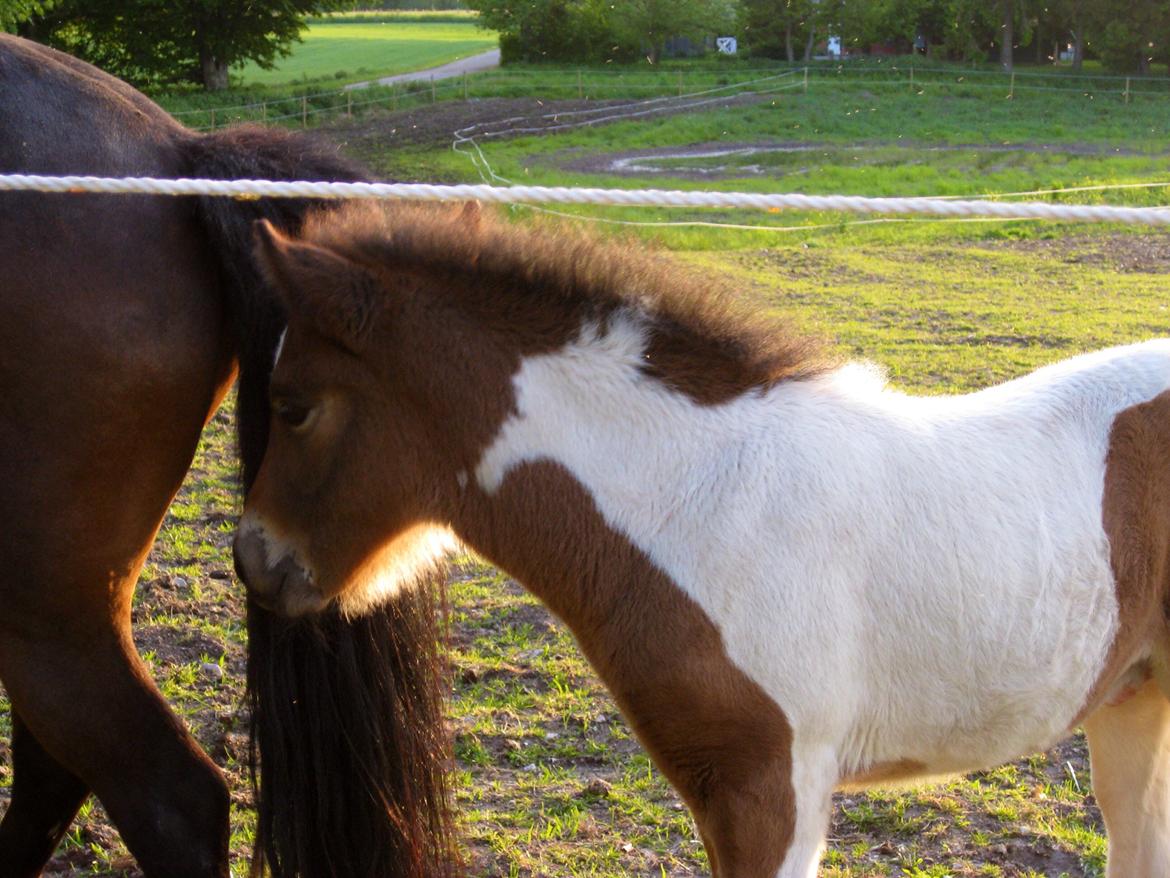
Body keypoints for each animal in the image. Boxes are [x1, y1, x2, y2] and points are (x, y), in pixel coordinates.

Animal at [237, 199, 1170, 878]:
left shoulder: (774, 790)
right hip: (1133, 699)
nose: (253, 557)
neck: (702, 503)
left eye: (293, 406)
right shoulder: (717, 791)